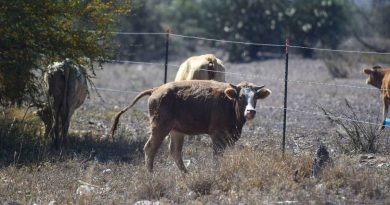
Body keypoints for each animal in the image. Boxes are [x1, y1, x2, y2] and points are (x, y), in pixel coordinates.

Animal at [108, 79, 270, 171]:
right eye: (241, 97)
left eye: (255, 97)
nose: (250, 112)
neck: (229, 102)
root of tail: (155, 90)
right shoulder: (217, 134)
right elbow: (217, 155)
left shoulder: (230, 136)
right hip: (159, 127)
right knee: (150, 148)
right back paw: (150, 174)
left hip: (176, 131)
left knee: (175, 152)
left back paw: (185, 174)